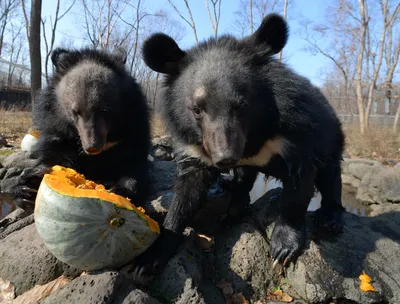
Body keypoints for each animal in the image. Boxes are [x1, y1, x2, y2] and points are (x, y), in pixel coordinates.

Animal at [7, 47, 152, 208]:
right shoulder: (57, 129)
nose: (92, 147)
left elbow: (134, 162)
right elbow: (56, 158)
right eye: (75, 112)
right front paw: (27, 185)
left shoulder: (133, 127)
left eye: (105, 109)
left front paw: (121, 191)